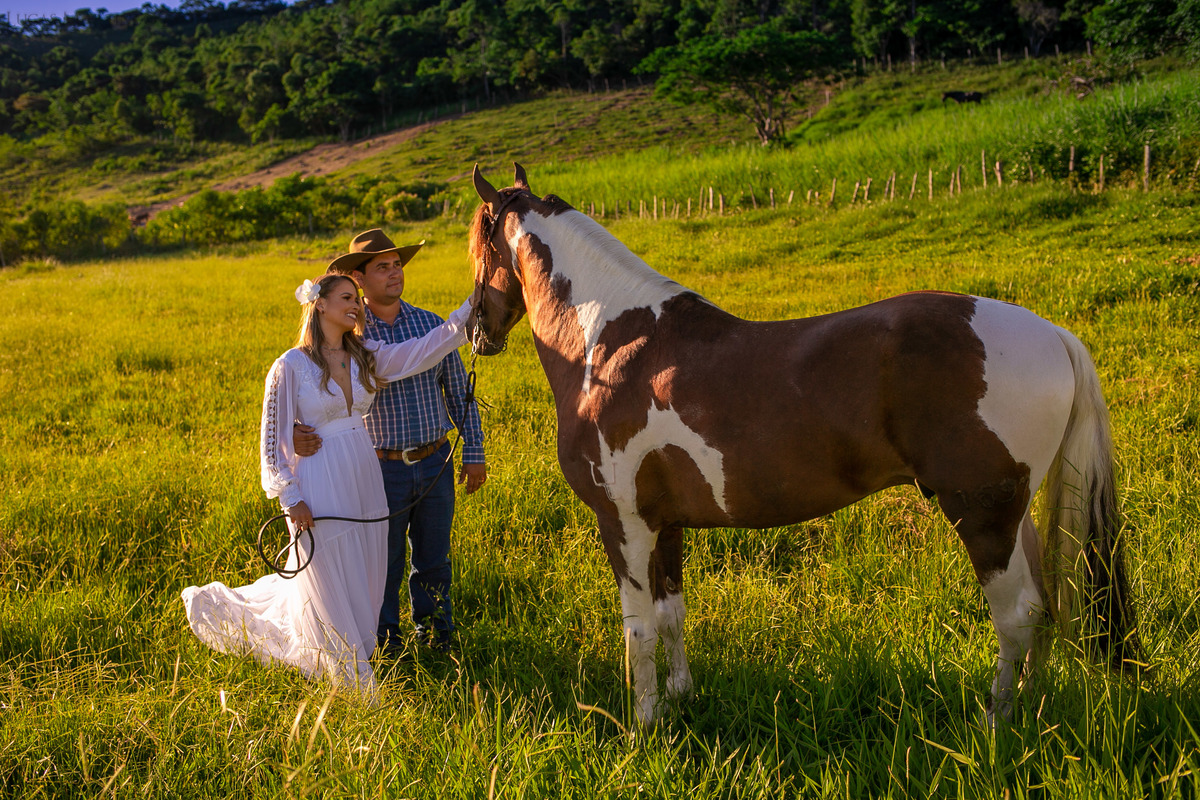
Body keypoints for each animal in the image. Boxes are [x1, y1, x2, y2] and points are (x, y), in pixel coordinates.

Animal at [466, 163, 1138, 726]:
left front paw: (646, 724)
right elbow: (671, 614)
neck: (609, 343)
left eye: (478, 240)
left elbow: (639, 630)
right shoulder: (667, 523)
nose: (476, 330)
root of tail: (1051, 333)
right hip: (1014, 514)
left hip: (982, 515)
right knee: (1042, 608)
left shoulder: (624, 522)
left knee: (1016, 613)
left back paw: (997, 719)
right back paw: (1029, 704)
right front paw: (682, 699)